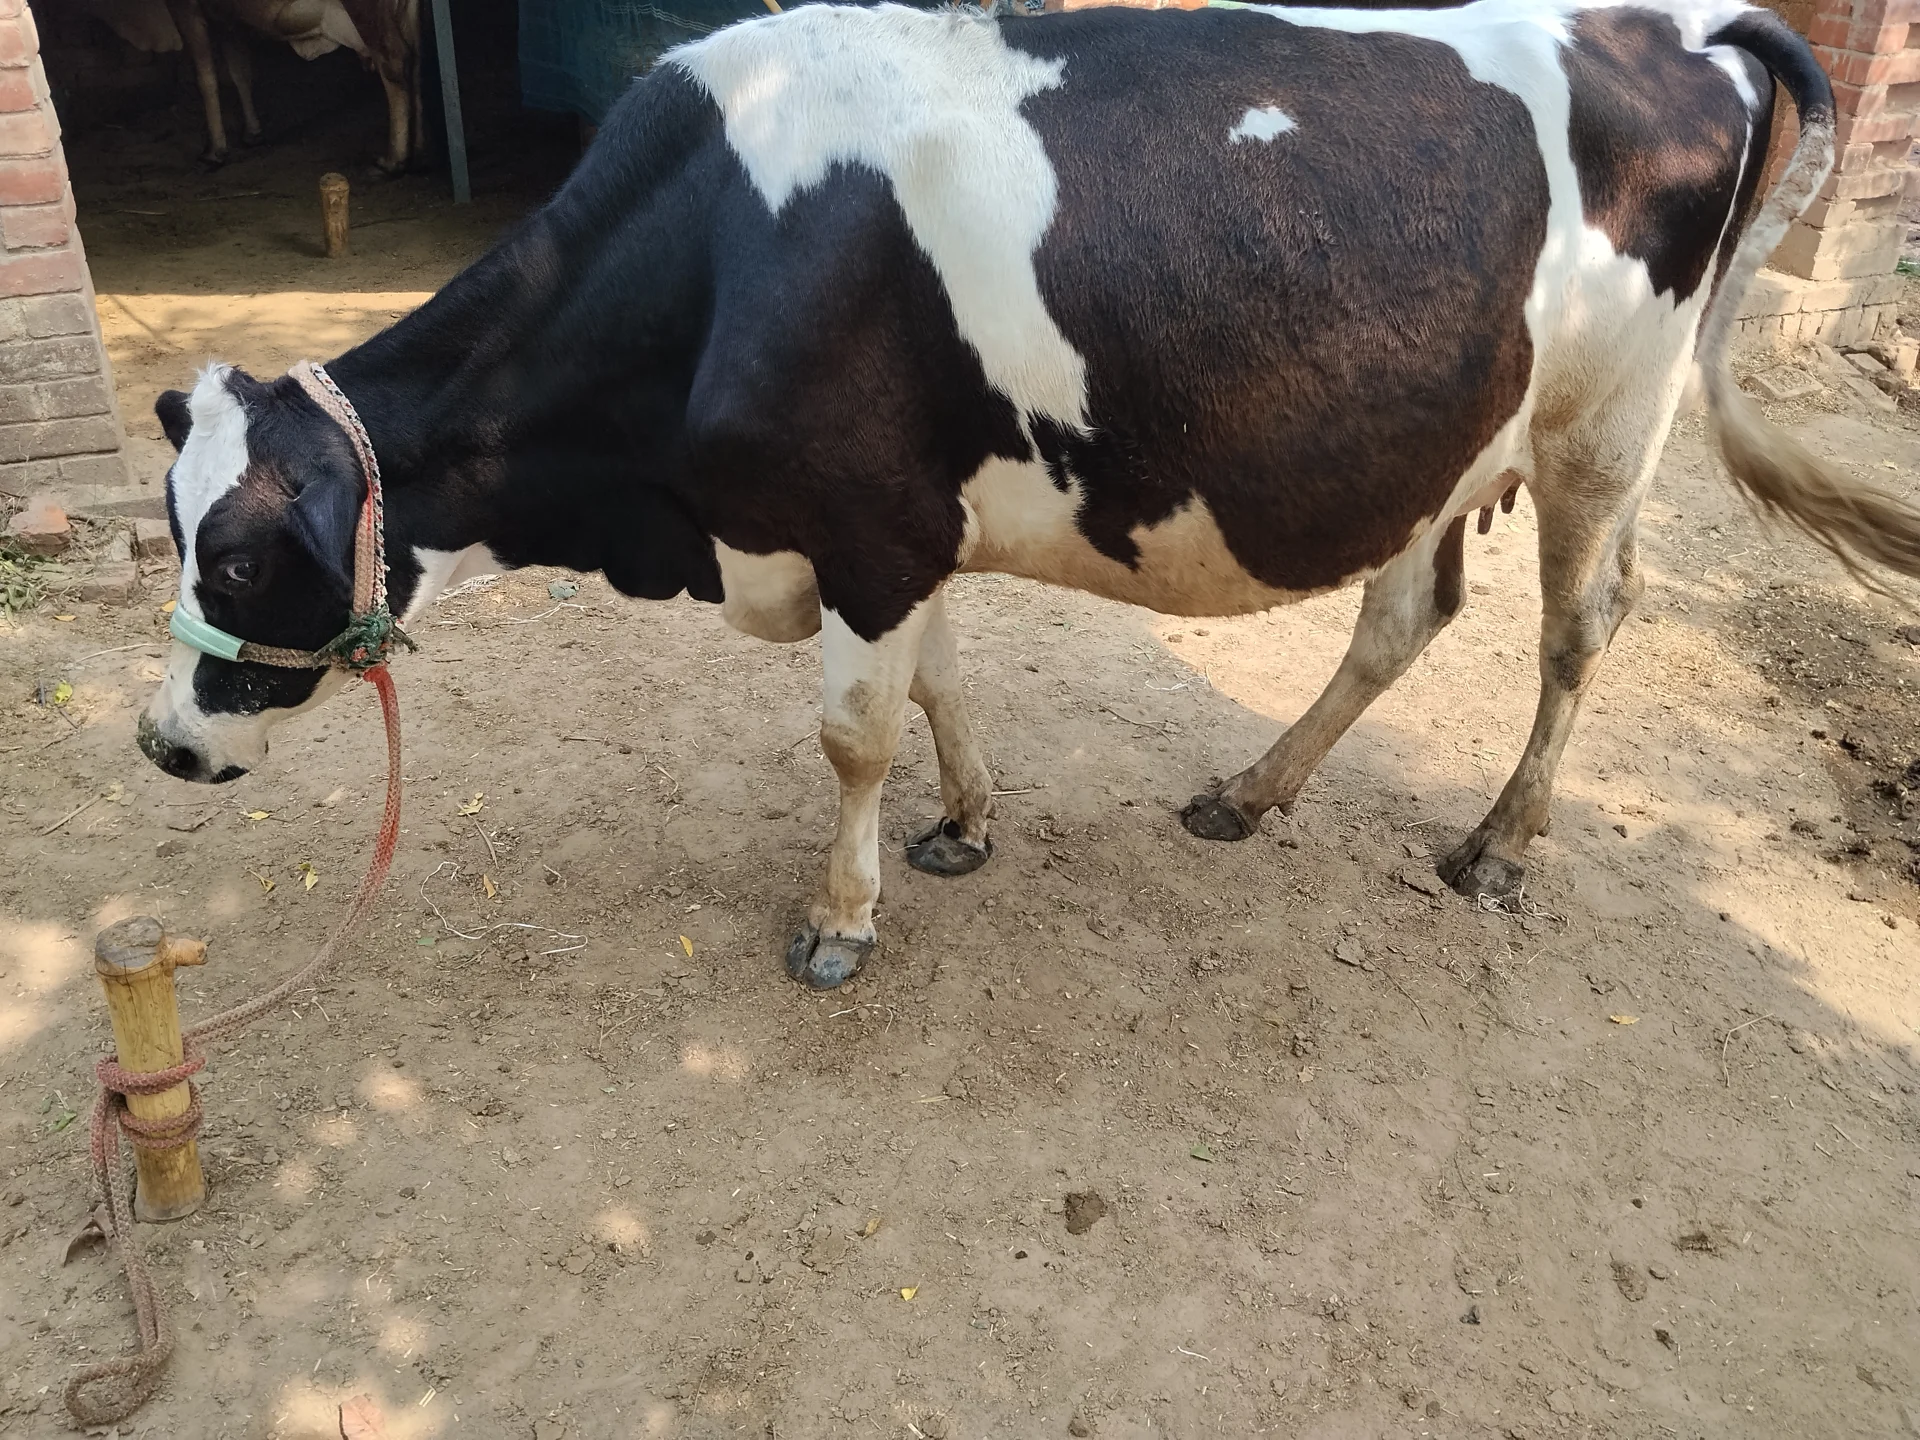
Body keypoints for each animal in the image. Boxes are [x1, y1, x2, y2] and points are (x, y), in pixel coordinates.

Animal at [137, 0, 1920, 990]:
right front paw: (967, 822)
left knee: (1578, 626)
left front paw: (842, 919)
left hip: (1604, 423)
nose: (161, 744)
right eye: (171, 523)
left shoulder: (865, 526)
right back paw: (1252, 792)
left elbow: (854, 730)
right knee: (1411, 610)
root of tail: (1680, 24)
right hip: (1438, 440)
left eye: (242, 560)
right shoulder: (896, 526)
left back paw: (1501, 845)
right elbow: (935, 688)